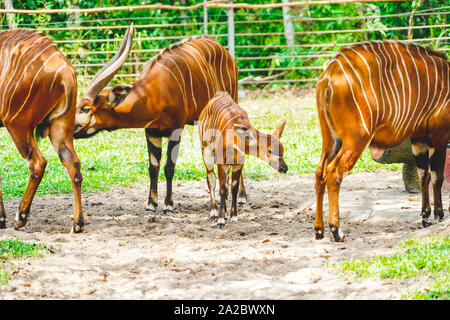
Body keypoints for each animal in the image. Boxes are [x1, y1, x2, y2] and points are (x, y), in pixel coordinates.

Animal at [0, 28, 84, 232]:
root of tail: (64, 69)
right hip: (61, 127)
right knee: (74, 164)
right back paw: (77, 224)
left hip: (17, 125)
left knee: (38, 162)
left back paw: (21, 217)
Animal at [74, 25, 250, 215]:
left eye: (86, 108)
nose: (71, 129)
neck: (154, 92)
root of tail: (226, 53)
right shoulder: (151, 132)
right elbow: (153, 167)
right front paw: (151, 203)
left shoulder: (176, 129)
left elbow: (169, 167)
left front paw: (168, 204)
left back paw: (242, 197)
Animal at [198, 91, 288, 229]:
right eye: (270, 151)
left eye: (282, 151)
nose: (284, 168)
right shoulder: (221, 161)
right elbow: (222, 188)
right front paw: (220, 220)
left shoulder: (238, 162)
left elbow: (233, 188)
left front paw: (233, 216)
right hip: (206, 151)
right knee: (211, 180)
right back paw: (213, 212)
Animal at [314, 40, 448, 241]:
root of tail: (328, 76)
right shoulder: (438, 136)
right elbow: (437, 176)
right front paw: (439, 215)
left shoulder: (419, 139)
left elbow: (423, 175)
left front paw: (425, 217)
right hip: (356, 138)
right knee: (334, 172)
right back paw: (337, 231)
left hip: (330, 139)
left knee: (319, 172)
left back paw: (319, 230)